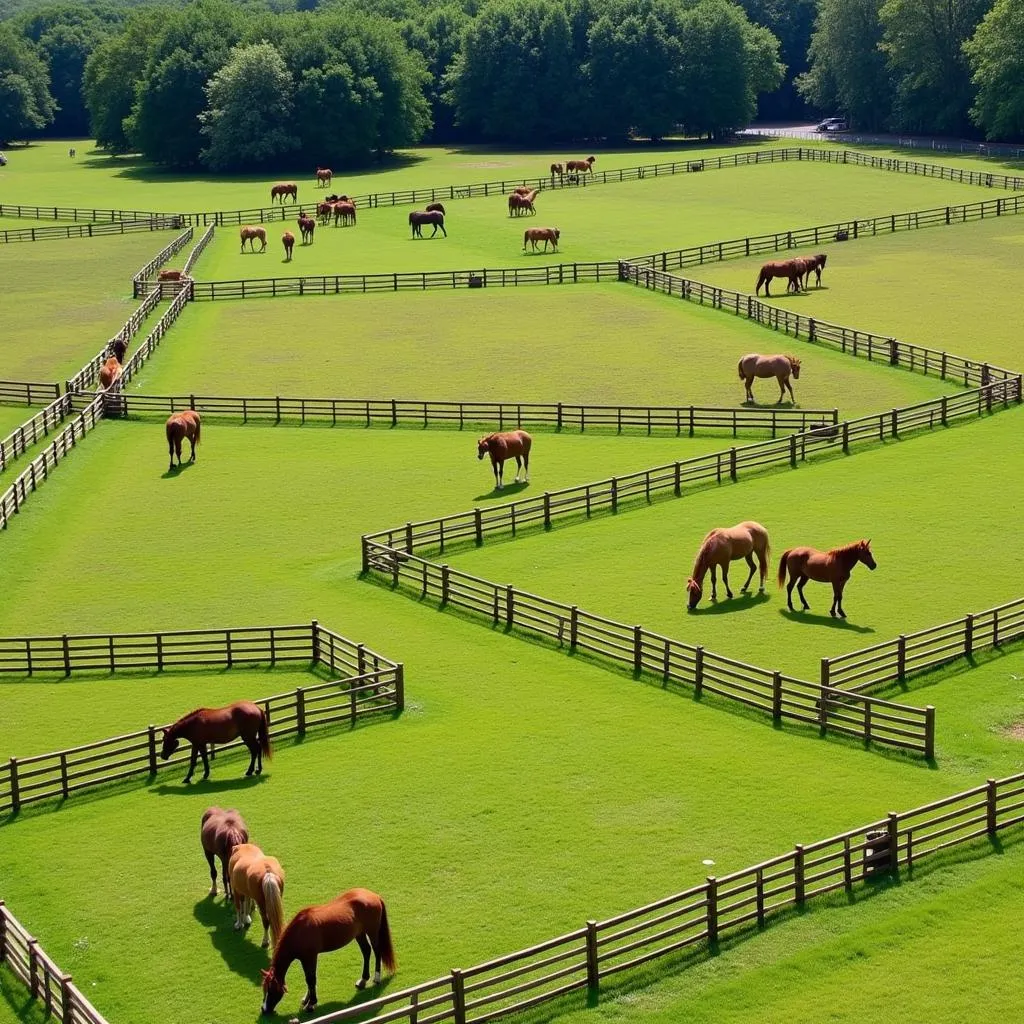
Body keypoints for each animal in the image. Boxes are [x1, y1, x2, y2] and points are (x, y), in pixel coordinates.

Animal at [260, 888, 395, 1015]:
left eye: (271, 990)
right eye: (264, 988)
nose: (264, 1009)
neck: (300, 931)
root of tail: (374, 895)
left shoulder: (311, 957)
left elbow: (311, 979)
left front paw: (311, 1004)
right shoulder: (304, 959)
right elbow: (308, 979)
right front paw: (307, 1000)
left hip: (372, 932)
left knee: (377, 952)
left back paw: (377, 978)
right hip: (359, 934)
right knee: (366, 951)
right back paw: (363, 980)